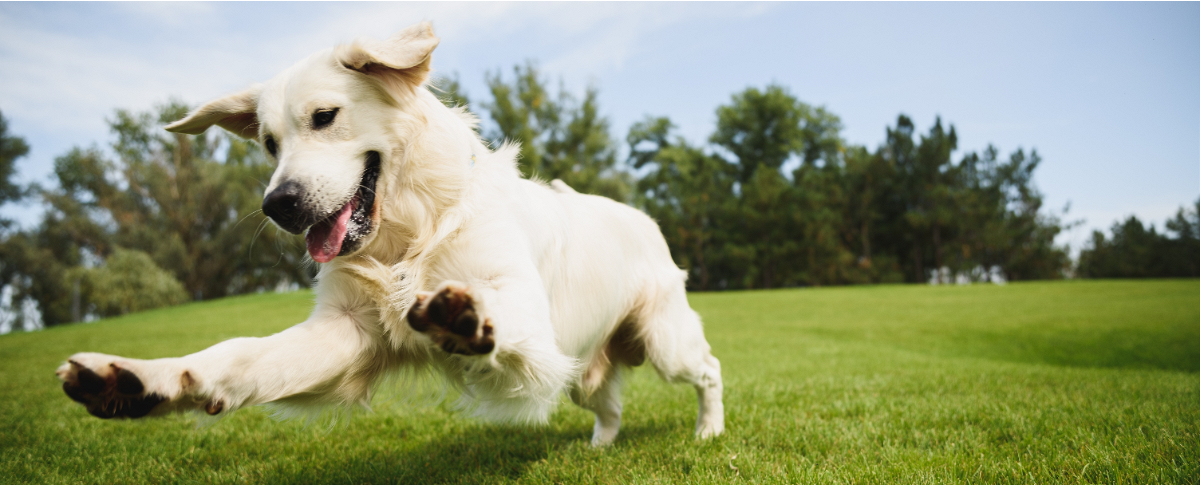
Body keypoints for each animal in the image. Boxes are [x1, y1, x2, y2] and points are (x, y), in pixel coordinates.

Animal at [56, 22, 720, 446]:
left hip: (665, 342)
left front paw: (464, 317)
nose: (278, 205)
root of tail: (643, 217)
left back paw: (708, 431)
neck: (410, 234)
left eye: (325, 117)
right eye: (268, 144)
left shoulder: (528, 315)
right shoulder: (344, 332)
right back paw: (599, 447)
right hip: (584, 365)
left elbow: (496, 309)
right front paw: (141, 380)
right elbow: (235, 357)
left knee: (709, 369)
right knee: (608, 403)